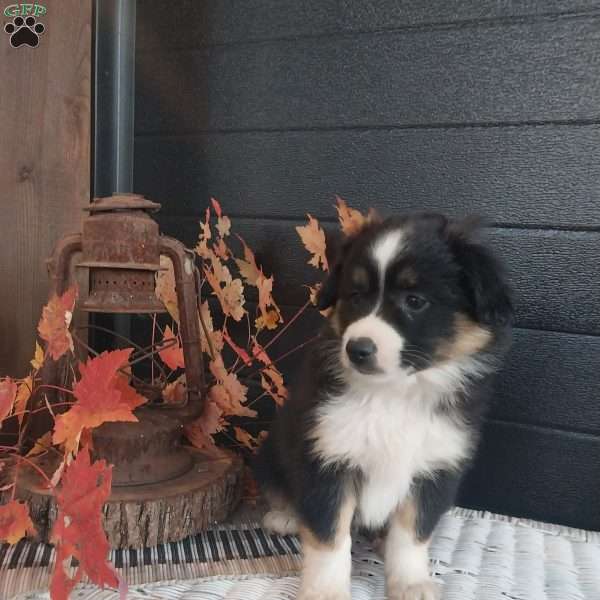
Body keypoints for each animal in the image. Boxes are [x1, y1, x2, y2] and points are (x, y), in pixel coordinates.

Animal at [255, 214, 512, 600]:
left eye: (415, 300)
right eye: (355, 295)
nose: (357, 349)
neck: (394, 394)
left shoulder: (434, 466)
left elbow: (412, 536)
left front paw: (411, 582)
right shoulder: (326, 459)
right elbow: (329, 539)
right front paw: (325, 591)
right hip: (273, 448)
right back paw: (285, 516)